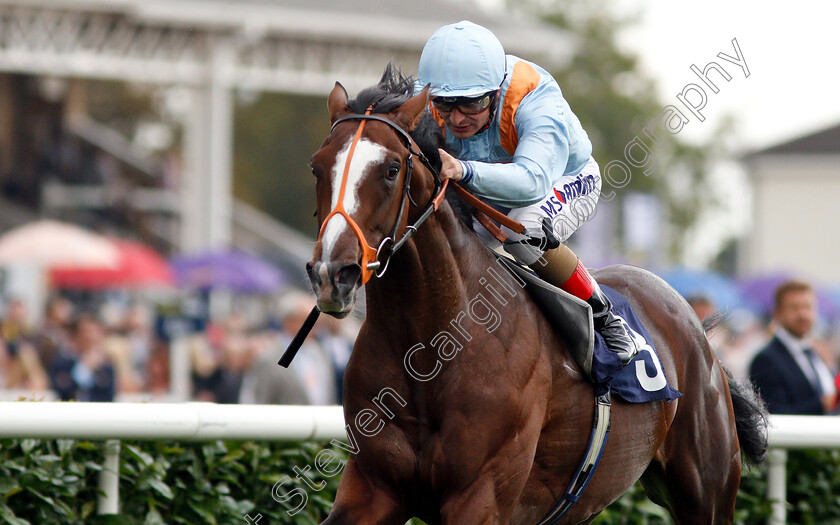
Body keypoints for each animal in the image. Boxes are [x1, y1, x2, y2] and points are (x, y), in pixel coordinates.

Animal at [306, 67, 764, 520]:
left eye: (390, 169)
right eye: (316, 167)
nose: (333, 273)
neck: (431, 349)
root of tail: (693, 323)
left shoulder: (481, 494)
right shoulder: (371, 487)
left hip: (706, 491)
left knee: (531, 236)